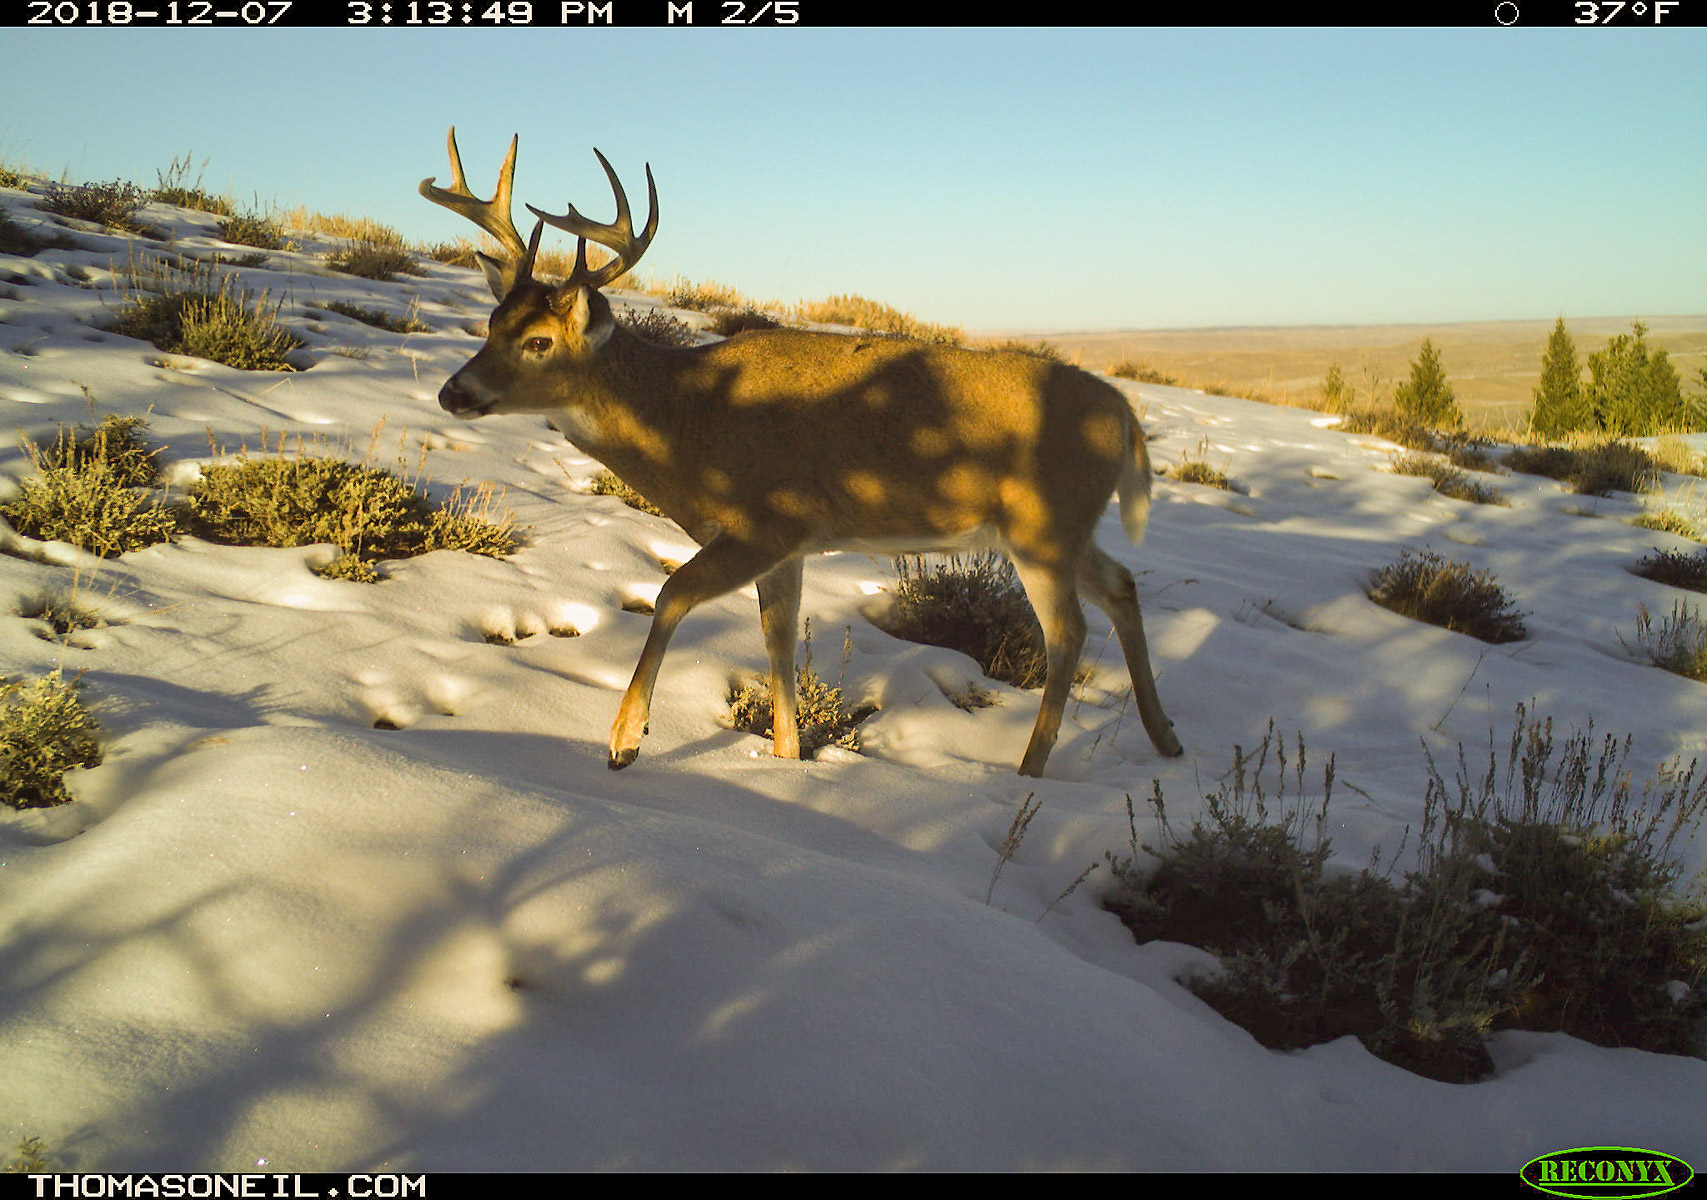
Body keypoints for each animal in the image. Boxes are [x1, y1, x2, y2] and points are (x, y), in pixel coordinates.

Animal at [420, 128, 1183, 778]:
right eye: (491, 324)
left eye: (539, 342)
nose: (454, 392)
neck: (693, 423)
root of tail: (1124, 415)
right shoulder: (788, 547)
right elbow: (778, 642)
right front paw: (786, 760)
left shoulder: (770, 519)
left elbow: (672, 594)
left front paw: (624, 741)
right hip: (1062, 528)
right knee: (1121, 584)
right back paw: (1165, 738)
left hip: (1041, 527)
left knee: (1068, 633)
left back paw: (1029, 772)